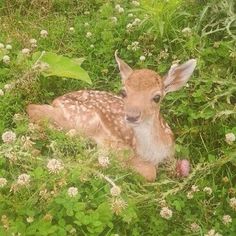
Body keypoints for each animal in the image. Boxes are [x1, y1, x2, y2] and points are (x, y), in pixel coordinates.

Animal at [27, 51, 197, 181]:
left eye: (157, 97)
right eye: (123, 92)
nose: (132, 116)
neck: (152, 152)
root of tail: (57, 100)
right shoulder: (117, 145)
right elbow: (150, 173)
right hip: (84, 119)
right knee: (33, 110)